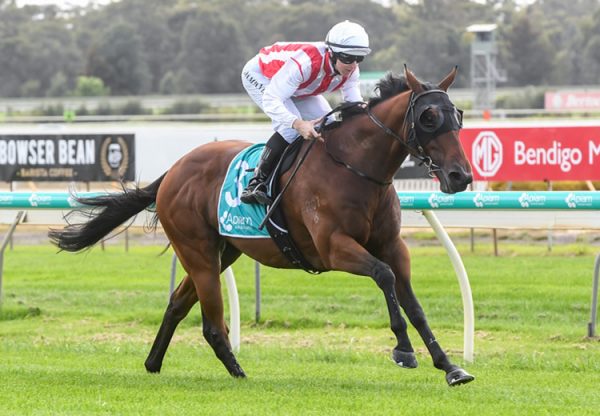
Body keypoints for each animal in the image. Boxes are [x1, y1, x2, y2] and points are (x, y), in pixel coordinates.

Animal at [49, 66, 476, 386]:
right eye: (428, 118)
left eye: (457, 115)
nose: (460, 176)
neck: (355, 166)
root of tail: (173, 171)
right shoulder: (333, 247)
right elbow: (384, 277)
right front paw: (403, 351)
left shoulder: (392, 245)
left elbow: (412, 303)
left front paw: (450, 366)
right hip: (198, 251)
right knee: (211, 321)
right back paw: (238, 371)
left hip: (224, 251)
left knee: (177, 303)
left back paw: (154, 363)